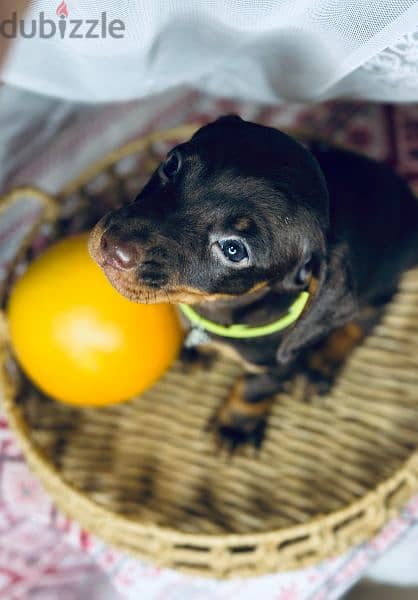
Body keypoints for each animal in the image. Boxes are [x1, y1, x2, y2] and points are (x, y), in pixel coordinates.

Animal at [88, 115, 418, 448]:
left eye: (234, 249)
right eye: (171, 164)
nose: (112, 247)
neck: (219, 306)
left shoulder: (276, 367)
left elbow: (252, 391)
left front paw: (235, 427)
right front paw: (197, 351)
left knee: (365, 320)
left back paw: (320, 365)